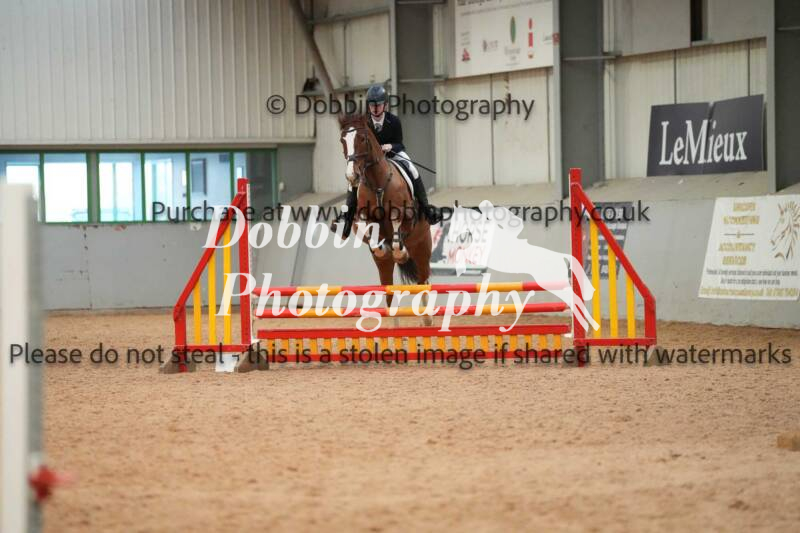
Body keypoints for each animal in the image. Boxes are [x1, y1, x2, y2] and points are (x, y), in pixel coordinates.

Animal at [338, 113, 433, 319]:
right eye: (343, 140)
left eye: (362, 139)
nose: (352, 176)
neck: (377, 182)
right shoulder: (363, 217)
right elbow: (372, 234)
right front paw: (382, 248)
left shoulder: (402, 214)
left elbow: (397, 234)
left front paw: (400, 253)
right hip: (385, 267)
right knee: (388, 287)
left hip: (422, 247)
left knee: (423, 280)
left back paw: (427, 318)